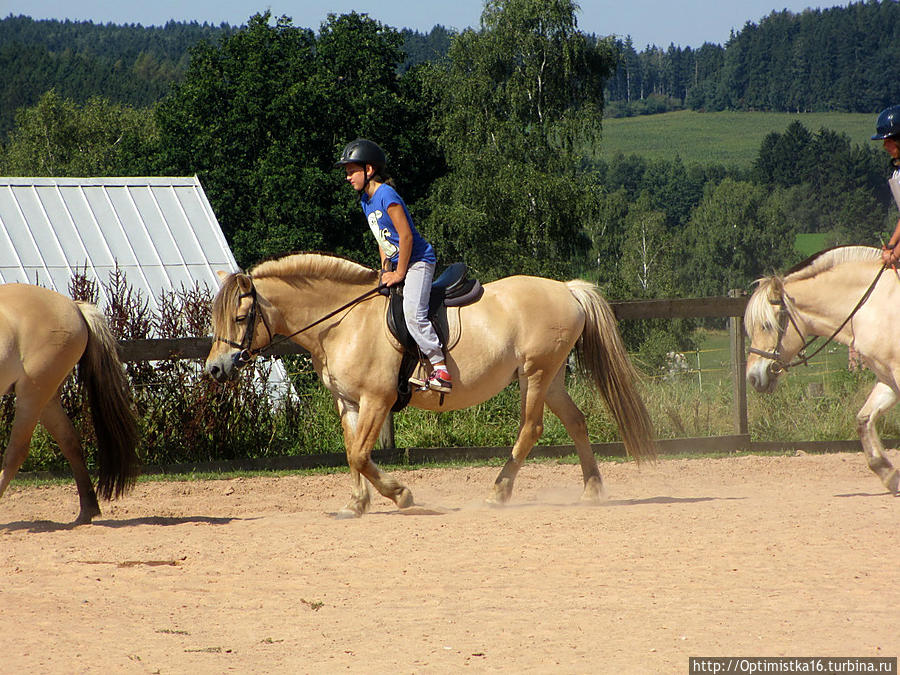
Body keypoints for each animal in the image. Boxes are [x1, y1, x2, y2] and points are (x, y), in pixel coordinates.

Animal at [0, 282, 141, 524]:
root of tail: (74, 307)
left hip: (32, 393)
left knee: (16, 451)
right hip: (46, 399)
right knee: (70, 443)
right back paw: (87, 511)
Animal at [204, 254, 652, 516]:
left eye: (240, 318)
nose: (215, 369)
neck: (344, 321)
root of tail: (568, 291)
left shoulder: (377, 399)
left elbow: (360, 455)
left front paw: (401, 494)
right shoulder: (348, 402)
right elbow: (351, 453)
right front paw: (357, 504)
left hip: (536, 374)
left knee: (531, 429)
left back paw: (498, 492)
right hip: (553, 376)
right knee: (576, 422)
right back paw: (592, 491)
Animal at [744, 246, 900, 494]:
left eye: (766, 325)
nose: (752, 377)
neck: (872, 305)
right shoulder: (888, 378)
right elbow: (863, 420)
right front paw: (889, 475)